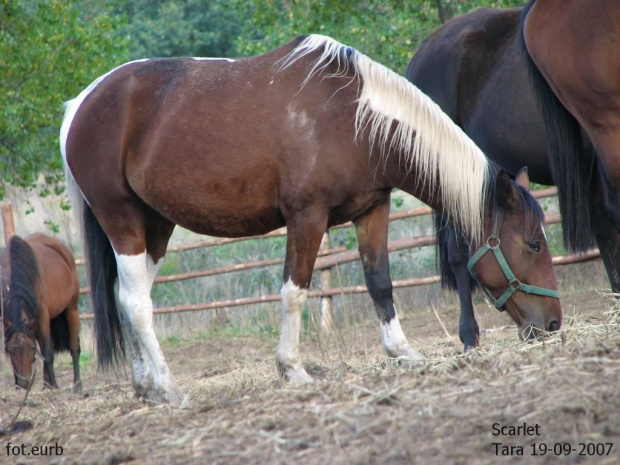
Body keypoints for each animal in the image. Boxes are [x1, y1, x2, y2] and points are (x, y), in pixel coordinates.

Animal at [0, 232, 81, 392]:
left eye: (32, 349)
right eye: (11, 351)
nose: (23, 384)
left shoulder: (42, 315)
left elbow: (47, 352)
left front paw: (54, 385)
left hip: (71, 309)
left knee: (73, 347)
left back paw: (76, 383)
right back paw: (46, 384)